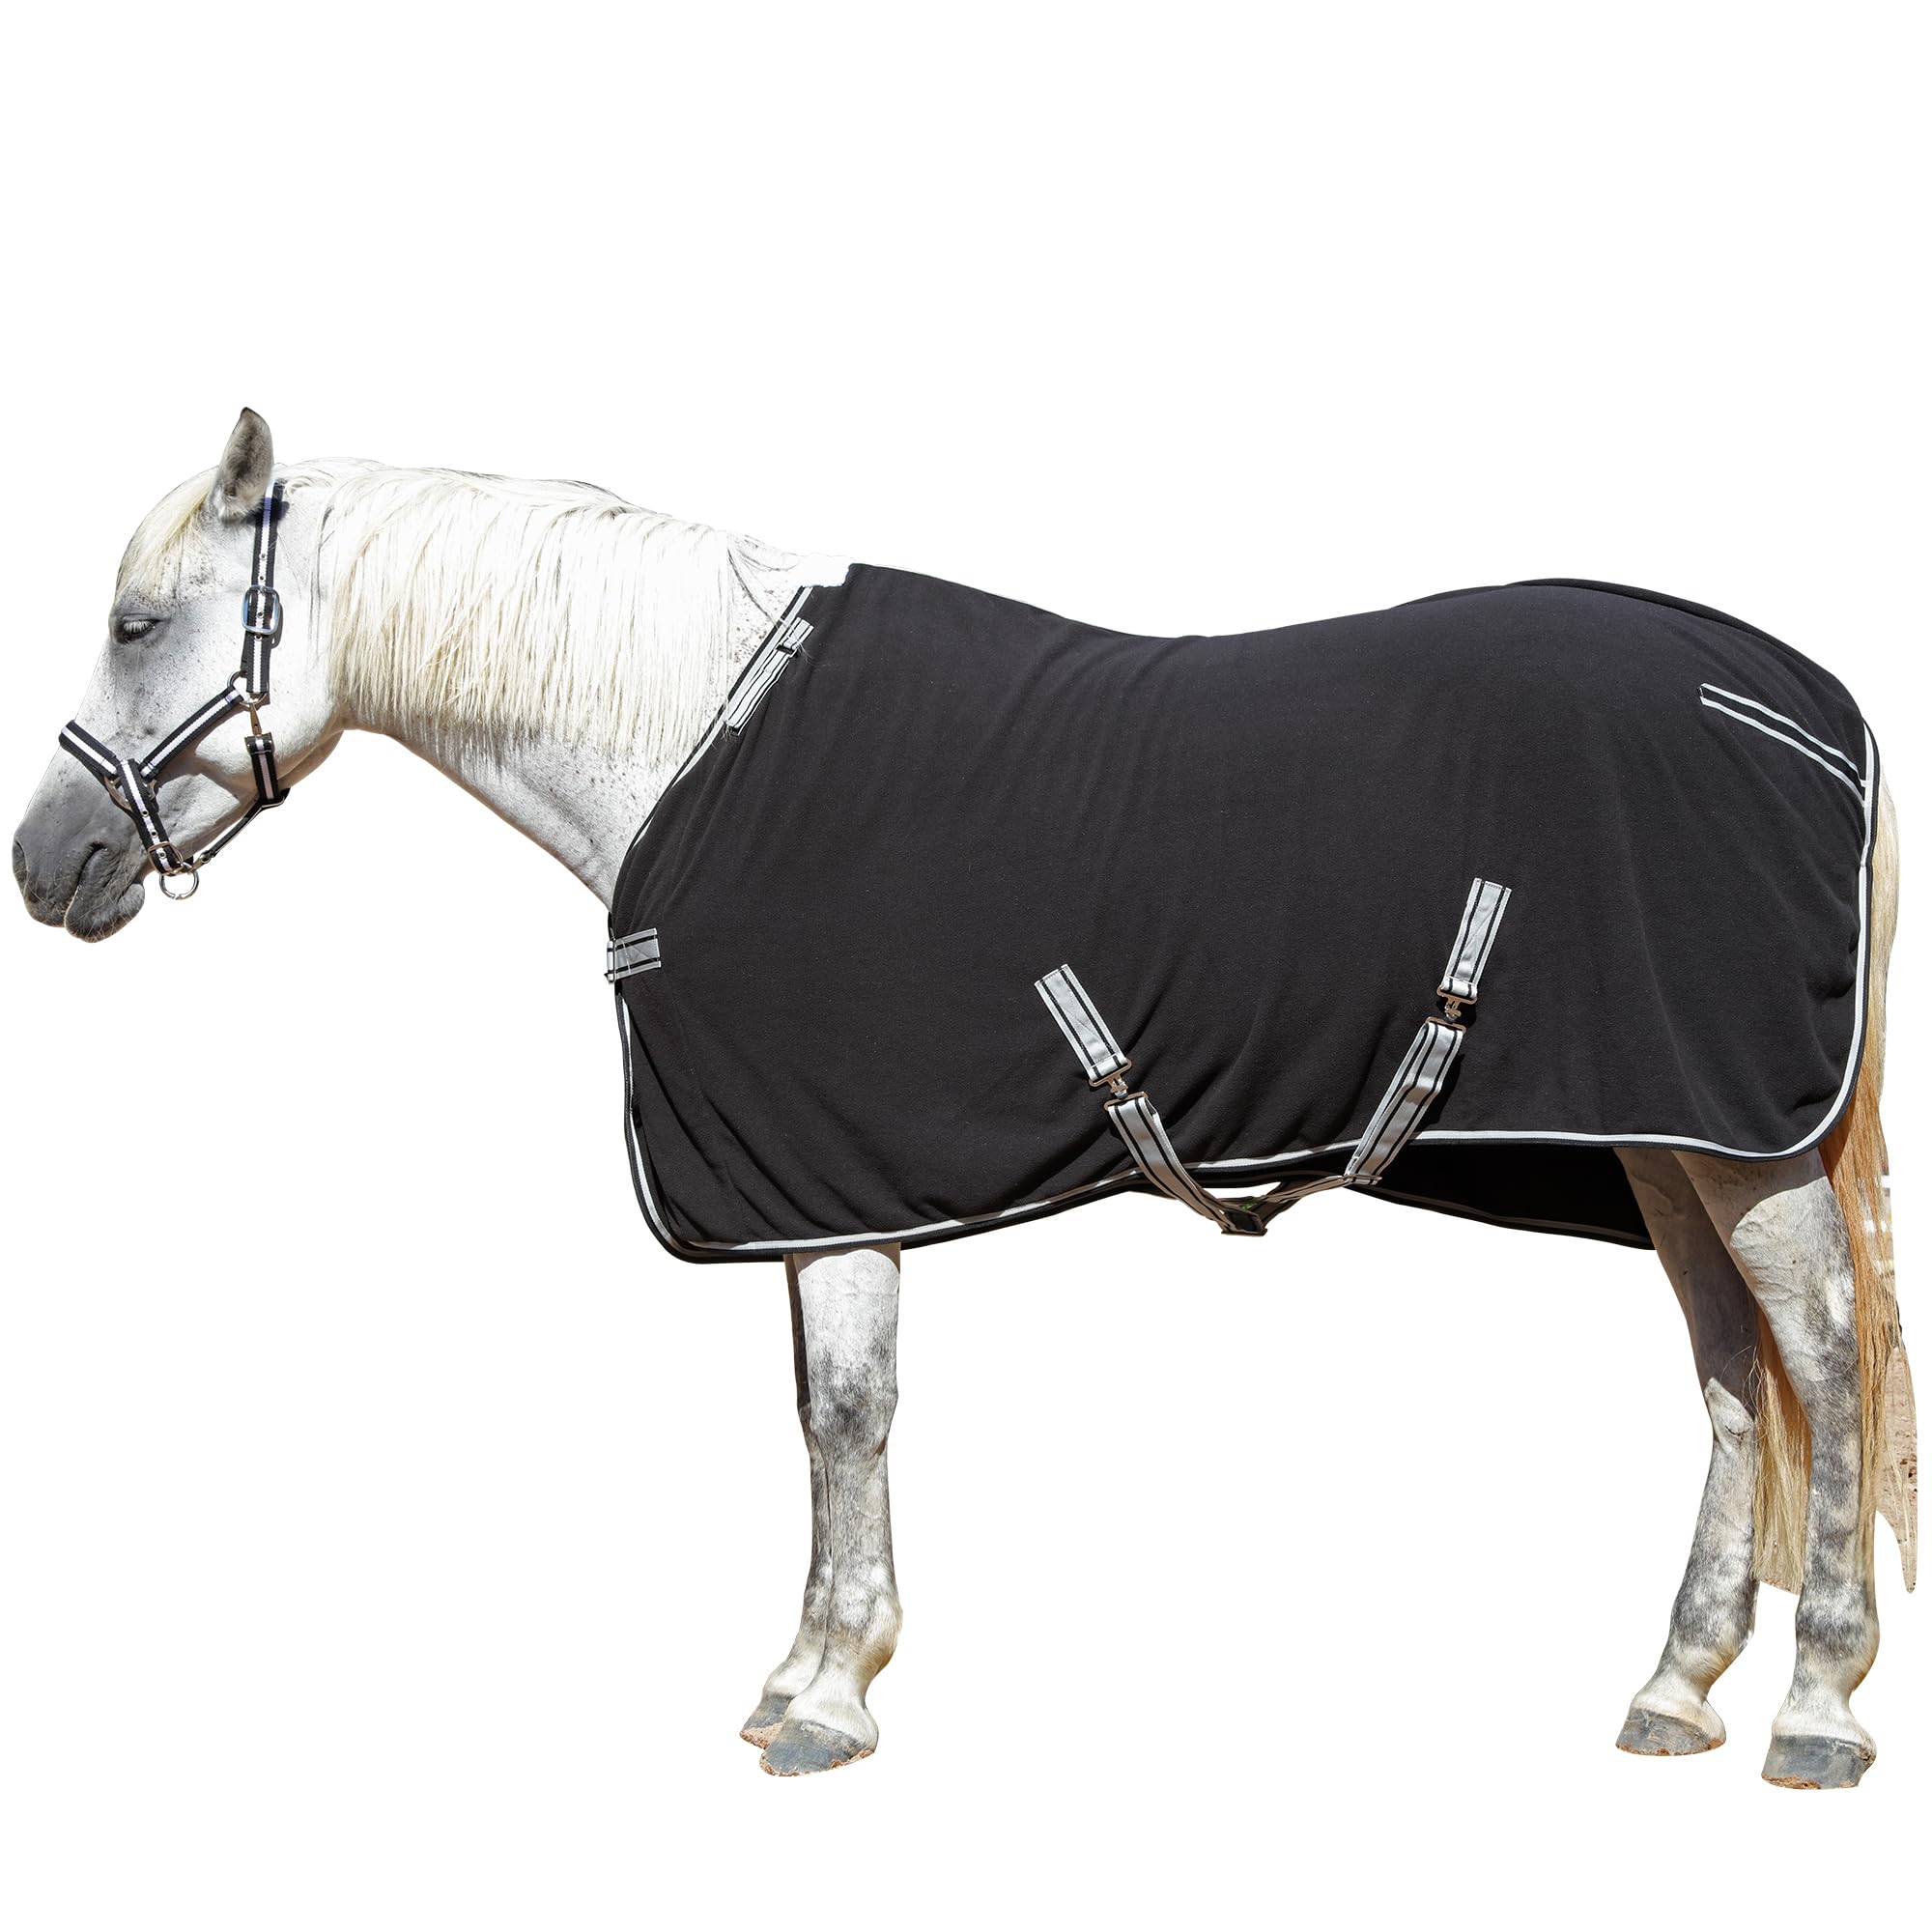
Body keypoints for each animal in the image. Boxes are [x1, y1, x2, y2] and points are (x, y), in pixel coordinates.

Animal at [13, 409, 1914, 1785]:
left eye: (134, 621)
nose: (48, 866)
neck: (688, 736)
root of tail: (1812, 709)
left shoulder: (832, 1178)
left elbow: (849, 1415)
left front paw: (826, 1700)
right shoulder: (808, 1187)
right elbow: (813, 1416)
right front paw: (807, 1664)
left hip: (1733, 1146)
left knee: (1819, 1358)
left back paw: (1817, 1711)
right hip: (1665, 1141)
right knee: (1732, 1367)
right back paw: (1675, 1688)